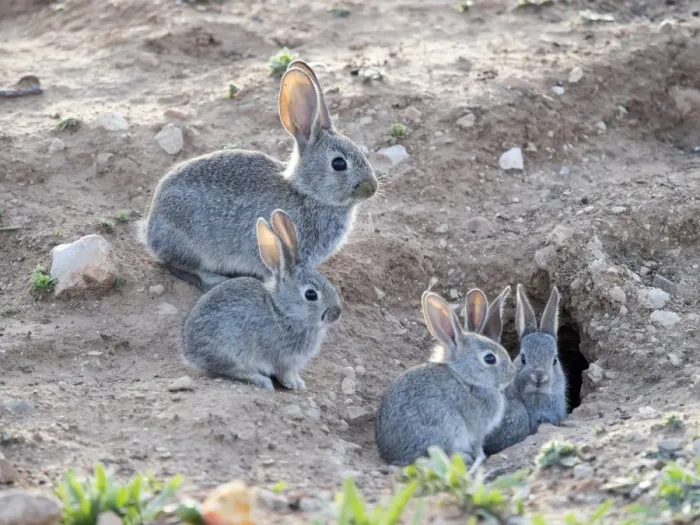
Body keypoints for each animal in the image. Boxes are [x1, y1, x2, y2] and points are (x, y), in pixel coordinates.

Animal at [142, 60, 378, 292]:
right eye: (339, 163)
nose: (372, 188)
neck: (307, 193)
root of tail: (150, 231)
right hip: (191, 242)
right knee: (177, 265)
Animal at [181, 209, 342, 390]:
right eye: (311, 295)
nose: (337, 312)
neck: (283, 311)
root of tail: (190, 352)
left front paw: (299, 382)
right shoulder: (283, 359)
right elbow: (284, 374)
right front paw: (294, 384)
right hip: (231, 352)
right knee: (231, 370)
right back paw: (261, 380)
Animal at [375, 291, 515, 473]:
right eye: (490, 358)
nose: (512, 373)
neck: (466, 377)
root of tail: (394, 456)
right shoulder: (478, 430)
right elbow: (478, 444)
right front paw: (481, 456)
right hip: (447, 426)